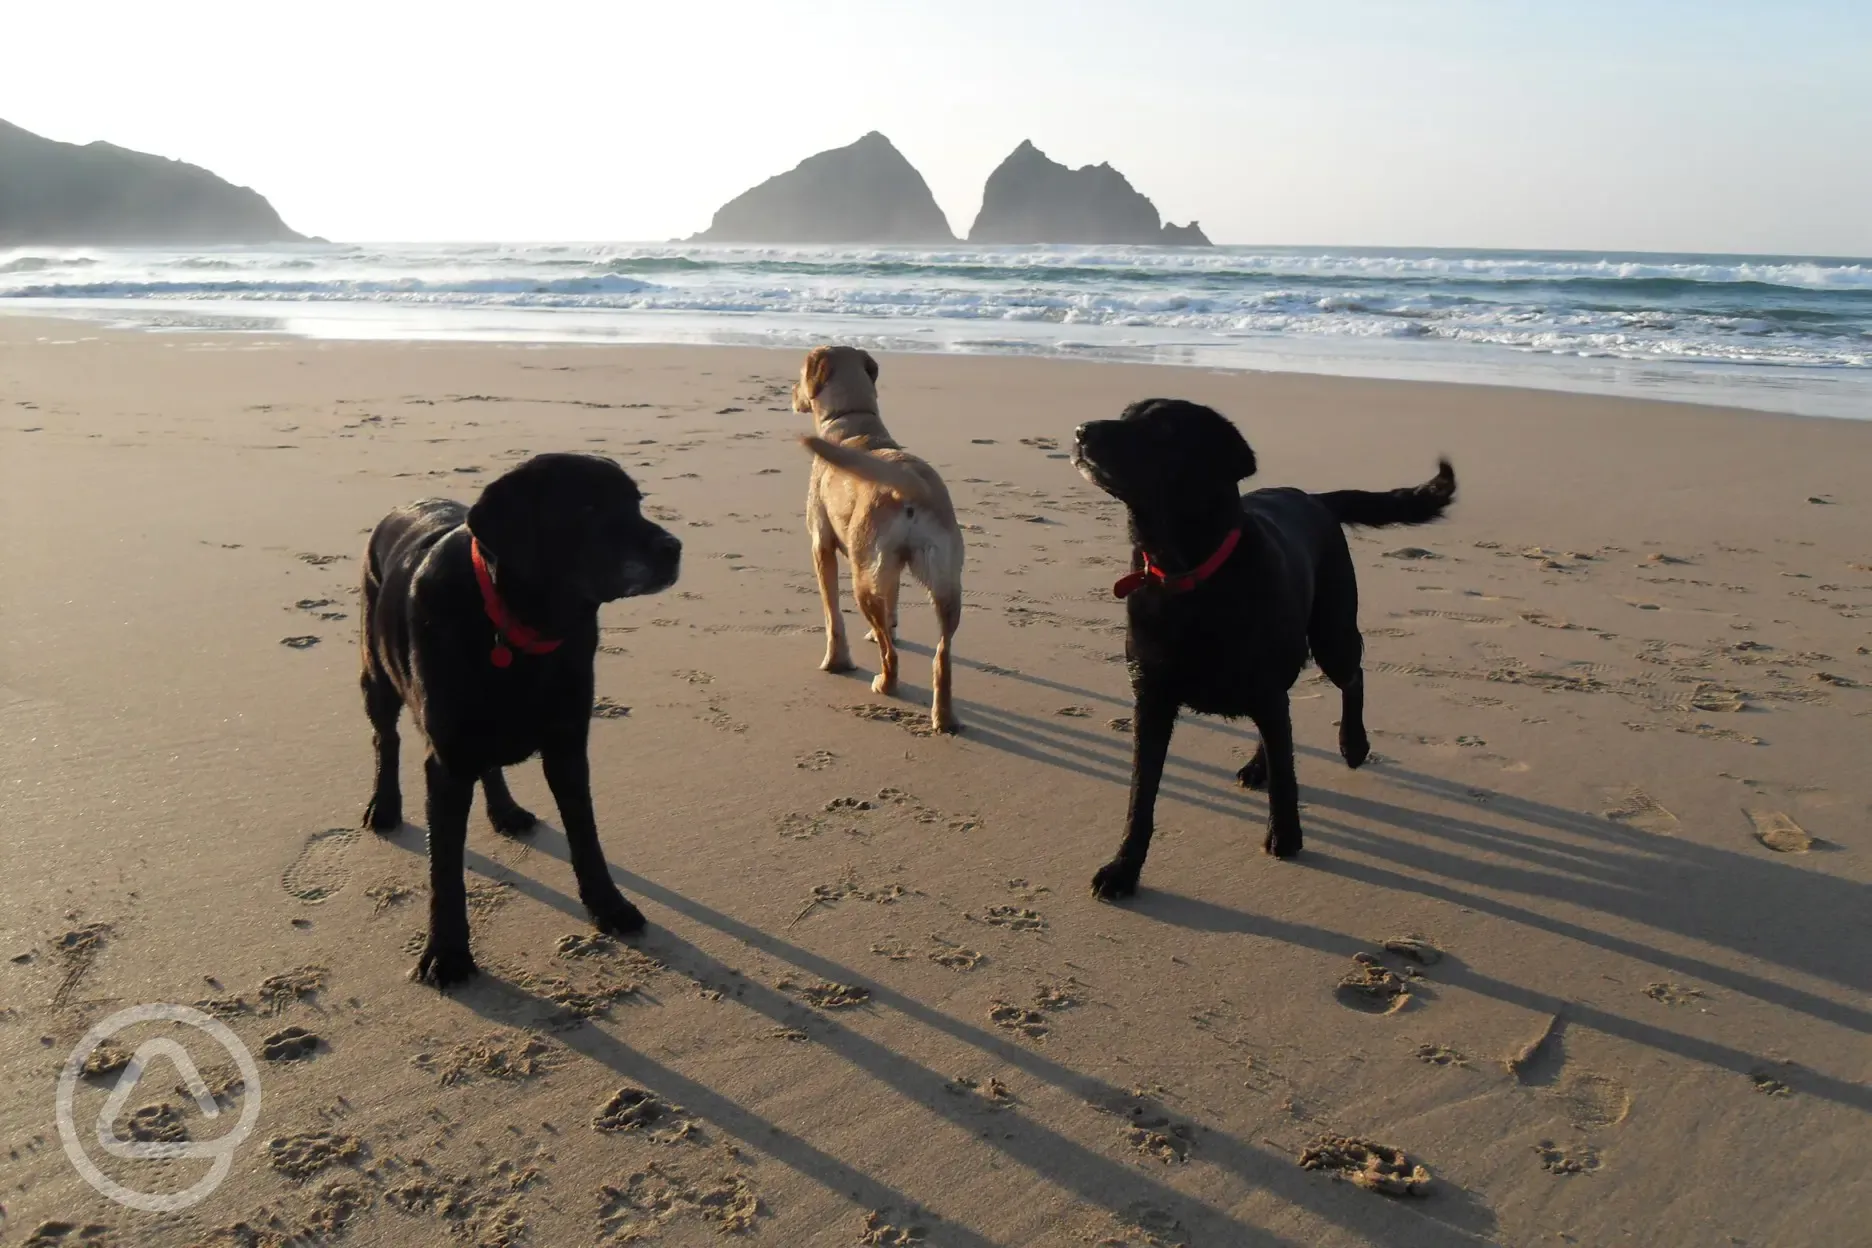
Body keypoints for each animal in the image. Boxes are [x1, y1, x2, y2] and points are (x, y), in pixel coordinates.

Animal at [357, 449, 681, 987]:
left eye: (636, 501)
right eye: (588, 506)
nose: (674, 548)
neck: (519, 629)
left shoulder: (568, 746)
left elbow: (586, 837)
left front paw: (609, 907)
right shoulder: (447, 763)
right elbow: (445, 870)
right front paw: (447, 953)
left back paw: (505, 811)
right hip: (376, 673)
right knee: (386, 737)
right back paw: (383, 806)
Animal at [793, 344, 965, 733]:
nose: (791, 393)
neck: (854, 423)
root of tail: (911, 482)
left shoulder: (820, 547)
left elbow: (833, 617)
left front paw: (836, 661)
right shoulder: (892, 568)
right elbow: (893, 605)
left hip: (862, 578)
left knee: (891, 654)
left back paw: (885, 684)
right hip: (946, 583)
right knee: (942, 655)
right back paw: (944, 717)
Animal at [1078, 400, 1452, 898]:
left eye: (1163, 427)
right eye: (1125, 414)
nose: (1081, 431)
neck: (1189, 576)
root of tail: (1314, 497)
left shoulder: (1261, 683)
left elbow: (1287, 777)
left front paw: (1286, 836)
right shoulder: (1152, 697)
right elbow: (1142, 795)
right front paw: (1123, 869)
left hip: (1331, 632)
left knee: (1351, 677)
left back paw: (1353, 744)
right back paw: (1260, 767)